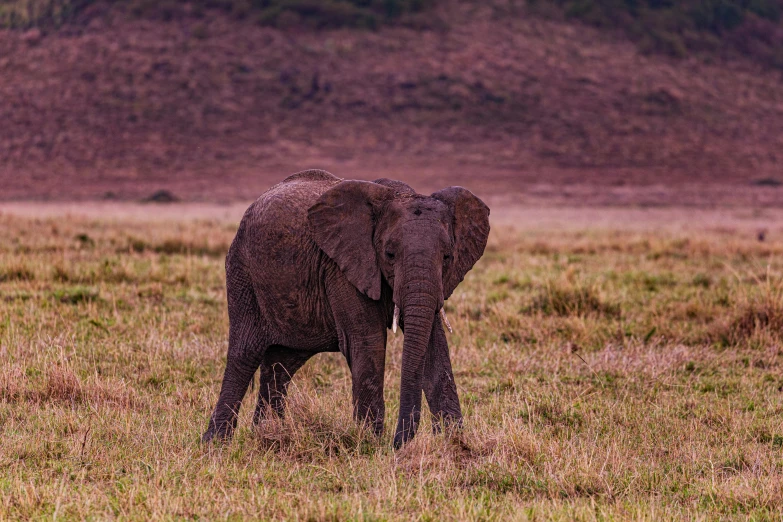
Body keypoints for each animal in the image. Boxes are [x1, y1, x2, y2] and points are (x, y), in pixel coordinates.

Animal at [201, 169, 490, 444]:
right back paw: (216, 443)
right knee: (244, 354)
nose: (399, 442)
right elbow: (368, 341)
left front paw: (454, 440)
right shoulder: (342, 267)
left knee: (281, 363)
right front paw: (370, 443)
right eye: (389, 254)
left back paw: (266, 433)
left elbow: (434, 343)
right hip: (242, 273)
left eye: (447, 257)